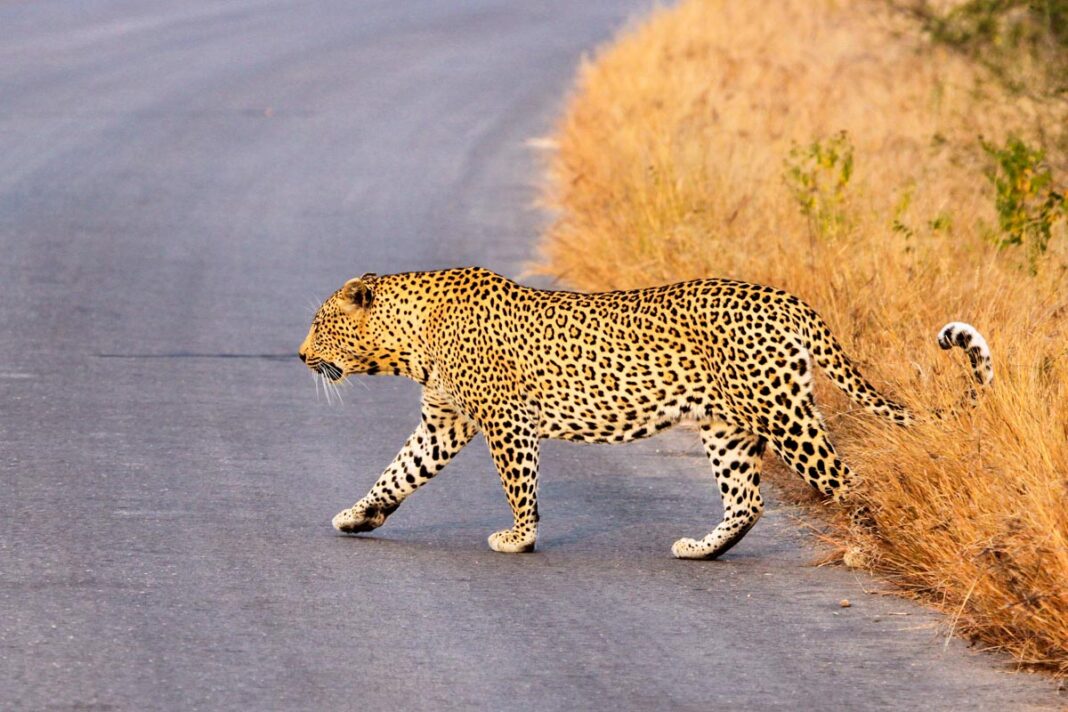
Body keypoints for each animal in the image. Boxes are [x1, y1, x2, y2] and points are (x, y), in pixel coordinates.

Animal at [299, 267, 992, 559]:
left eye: (320, 322)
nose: (300, 354)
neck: (407, 340)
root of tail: (785, 297)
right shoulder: (445, 420)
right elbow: (398, 472)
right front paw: (359, 516)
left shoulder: (503, 421)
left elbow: (519, 484)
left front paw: (520, 539)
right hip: (726, 426)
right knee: (747, 502)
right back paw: (702, 550)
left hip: (783, 415)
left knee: (847, 480)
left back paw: (867, 553)